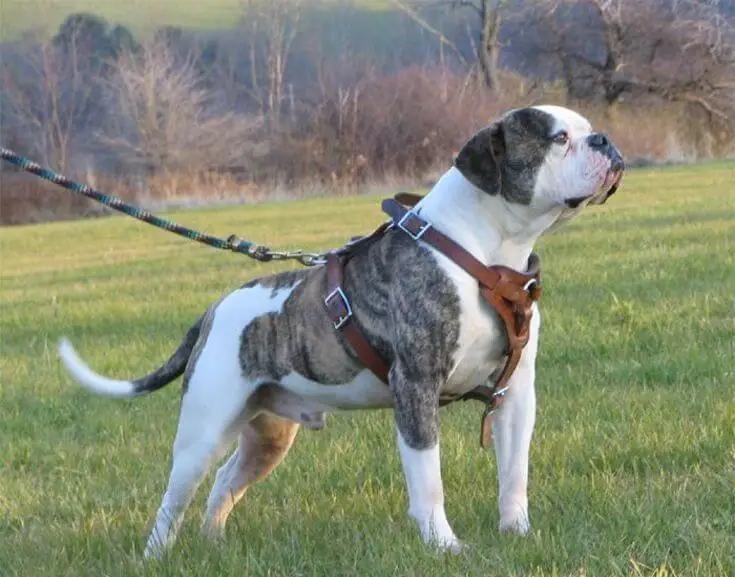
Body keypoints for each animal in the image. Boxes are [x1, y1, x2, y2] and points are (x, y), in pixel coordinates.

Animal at [57, 106, 624, 556]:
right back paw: (156, 555)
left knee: (224, 482)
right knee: (173, 500)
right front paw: (444, 546)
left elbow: (513, 474)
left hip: (267, 436)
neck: (486, 254)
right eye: (558, 138)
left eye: (585, 129)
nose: (605, 140)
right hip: (203, 430)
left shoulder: (516, 394)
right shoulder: (415, 388)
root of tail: (215, 309)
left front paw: (517, 533)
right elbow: (429, 482)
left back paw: (214, 543)